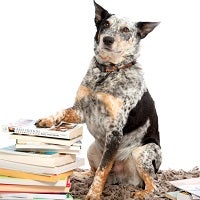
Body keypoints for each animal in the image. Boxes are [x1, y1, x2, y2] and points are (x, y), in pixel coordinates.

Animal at [35, 1, 162, 200]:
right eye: (106, 24)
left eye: (125, 29)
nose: (108, 39)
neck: (106, 72)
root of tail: (121, 180)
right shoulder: (81, 110)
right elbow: (61, 111)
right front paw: (47, 120)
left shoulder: (115, 131)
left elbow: (103, 170)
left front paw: (93, 194)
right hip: (92, 148)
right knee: (92, 171)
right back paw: (78, 175)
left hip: (142, 152)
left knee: (154, 185)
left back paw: (140, 193)